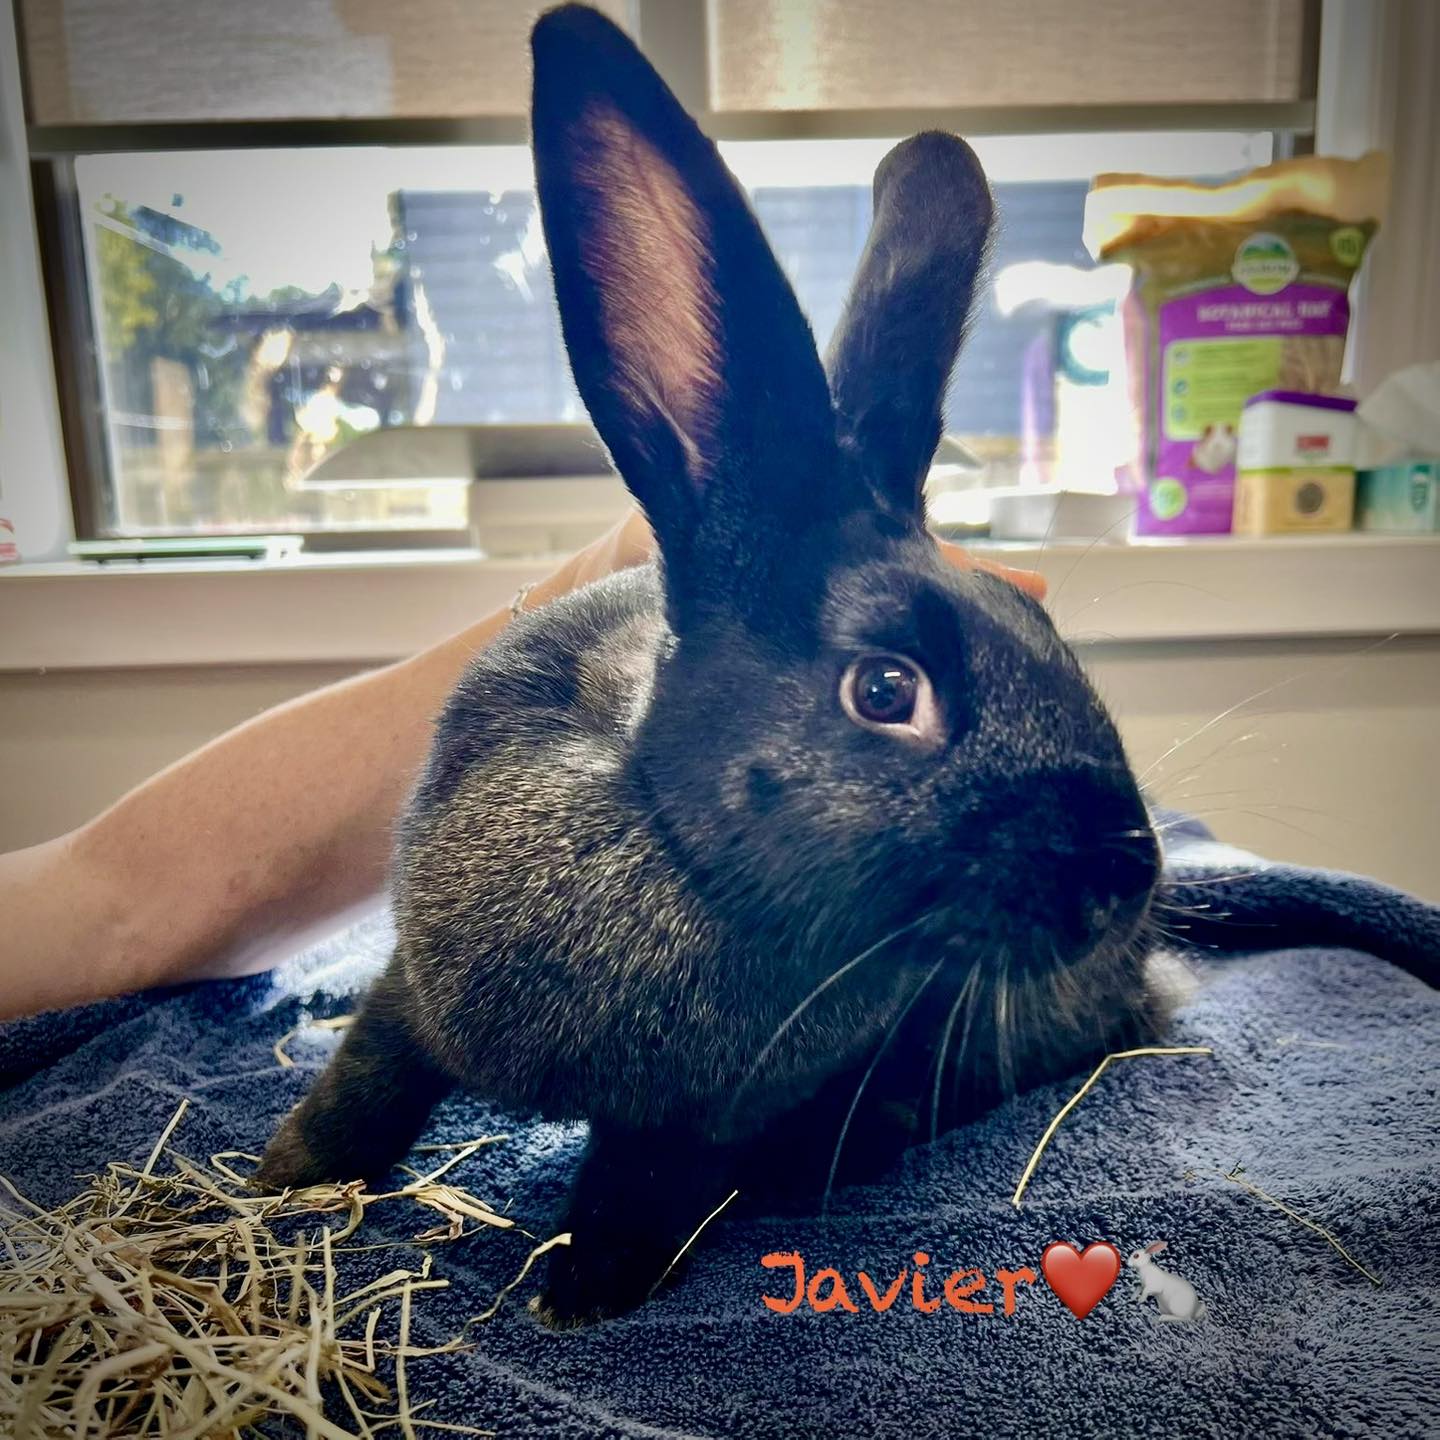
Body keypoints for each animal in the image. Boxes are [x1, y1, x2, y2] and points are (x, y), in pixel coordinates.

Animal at [257, 3, 1173, 1326]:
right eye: (886, 690)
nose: (1126, 875)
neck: (678, 851)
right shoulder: (414, 991)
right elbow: (368, 1082)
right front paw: (282, 1181)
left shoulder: (698, 1123)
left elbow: (643, 1185)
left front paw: (580, 1292)